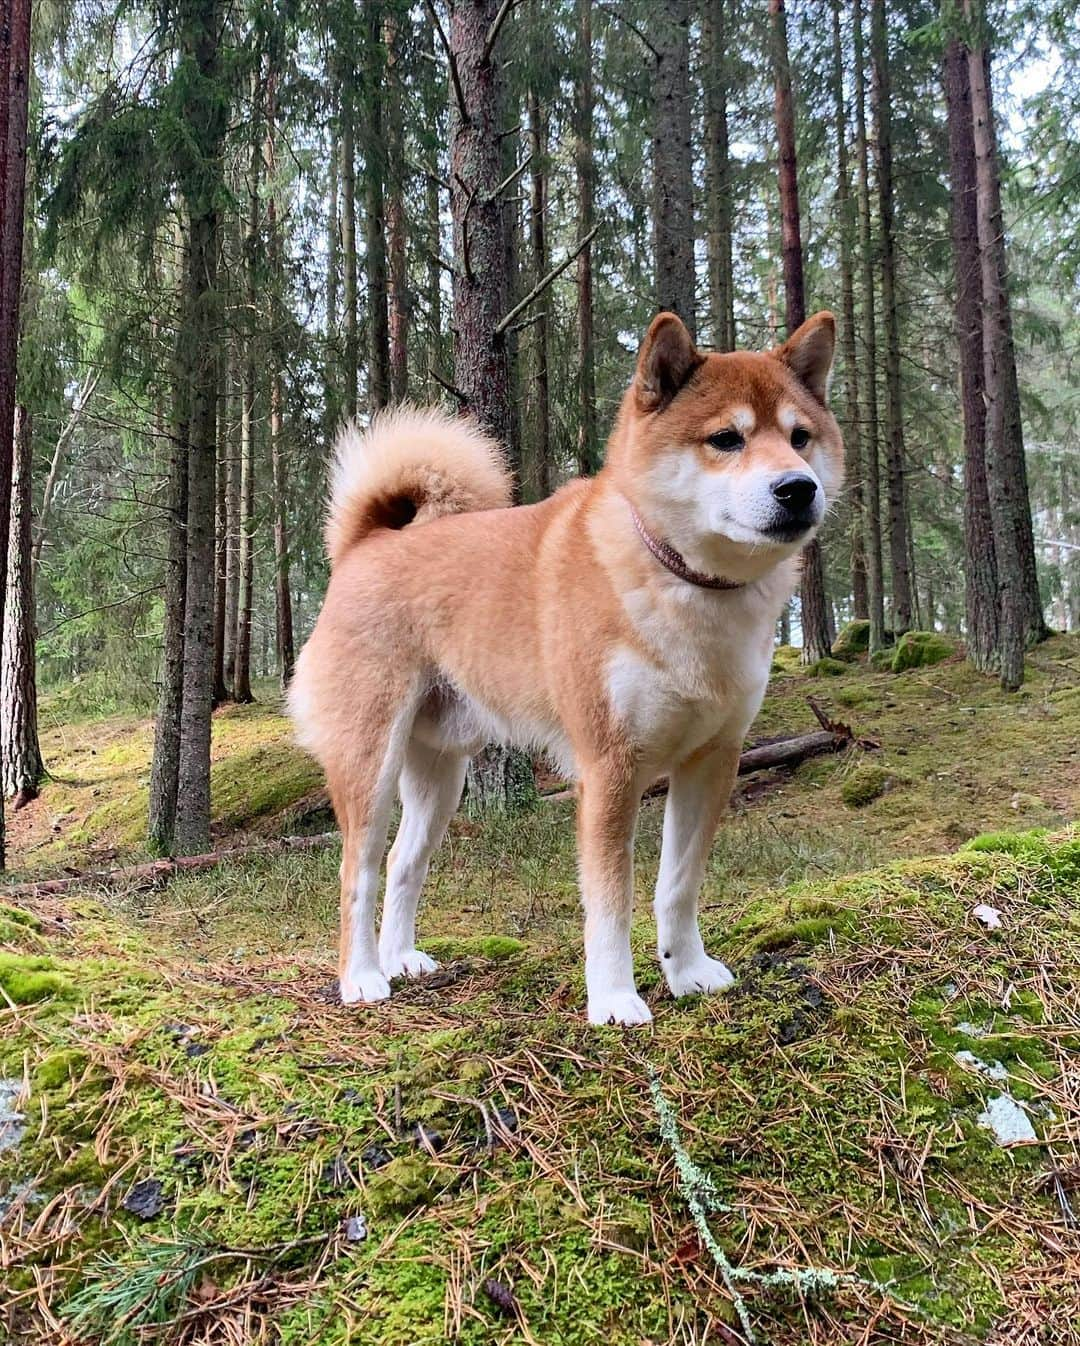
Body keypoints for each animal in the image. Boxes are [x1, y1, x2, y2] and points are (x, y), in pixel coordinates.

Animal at [292, 309, 840, 1022]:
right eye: (726, 439)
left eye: (800, 437)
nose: (799, 487)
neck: (686, 585)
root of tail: (367, 543)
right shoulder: (610, 770)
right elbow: (610, 902)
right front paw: (614, 998)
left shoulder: (711, 761)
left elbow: (679, 884)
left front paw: (687, 970)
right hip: (371, 761)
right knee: (356, 871)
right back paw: (361, 976)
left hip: (440, 779)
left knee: (403, 867)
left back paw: (401, 959)